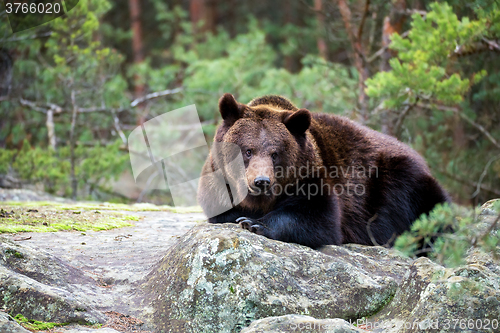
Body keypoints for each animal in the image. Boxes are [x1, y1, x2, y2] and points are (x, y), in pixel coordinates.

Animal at [196, 92, 450, 248]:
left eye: (275, 153)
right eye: (248, 150)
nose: (261, 181)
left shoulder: (313, 177)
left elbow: (319, 219)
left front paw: (255, 223)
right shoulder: (217, 184)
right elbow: (221, 211)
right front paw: (244, 217)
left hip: (397, 179)